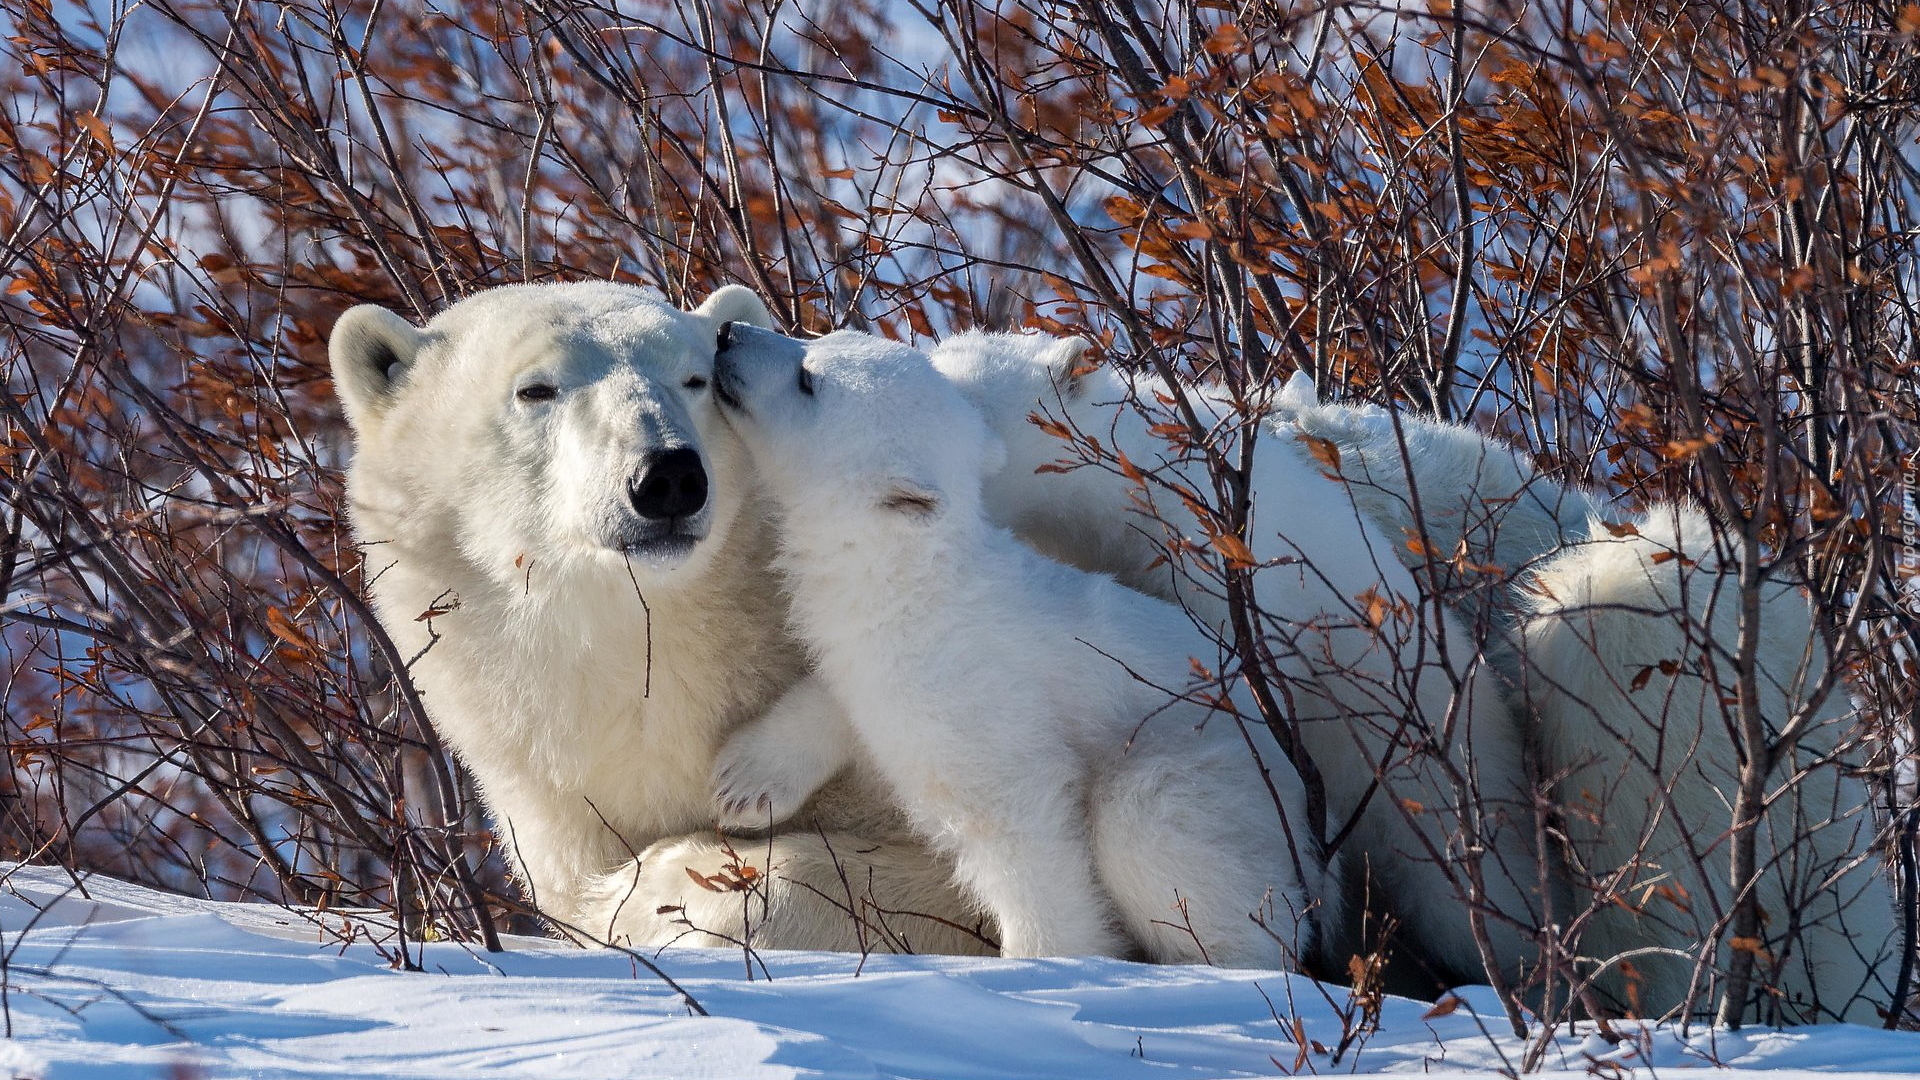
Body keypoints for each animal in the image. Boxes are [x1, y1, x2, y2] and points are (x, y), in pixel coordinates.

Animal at [714, 322, 1328, 960]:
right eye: (826, 335)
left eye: (808, 380)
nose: (730, 334)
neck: (916, 586)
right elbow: (838, 695)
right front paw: (741, 783)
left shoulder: (978, 693)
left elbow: (1015, 822)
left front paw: (1042, 958)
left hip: (1205, 768)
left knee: (1150, 827)